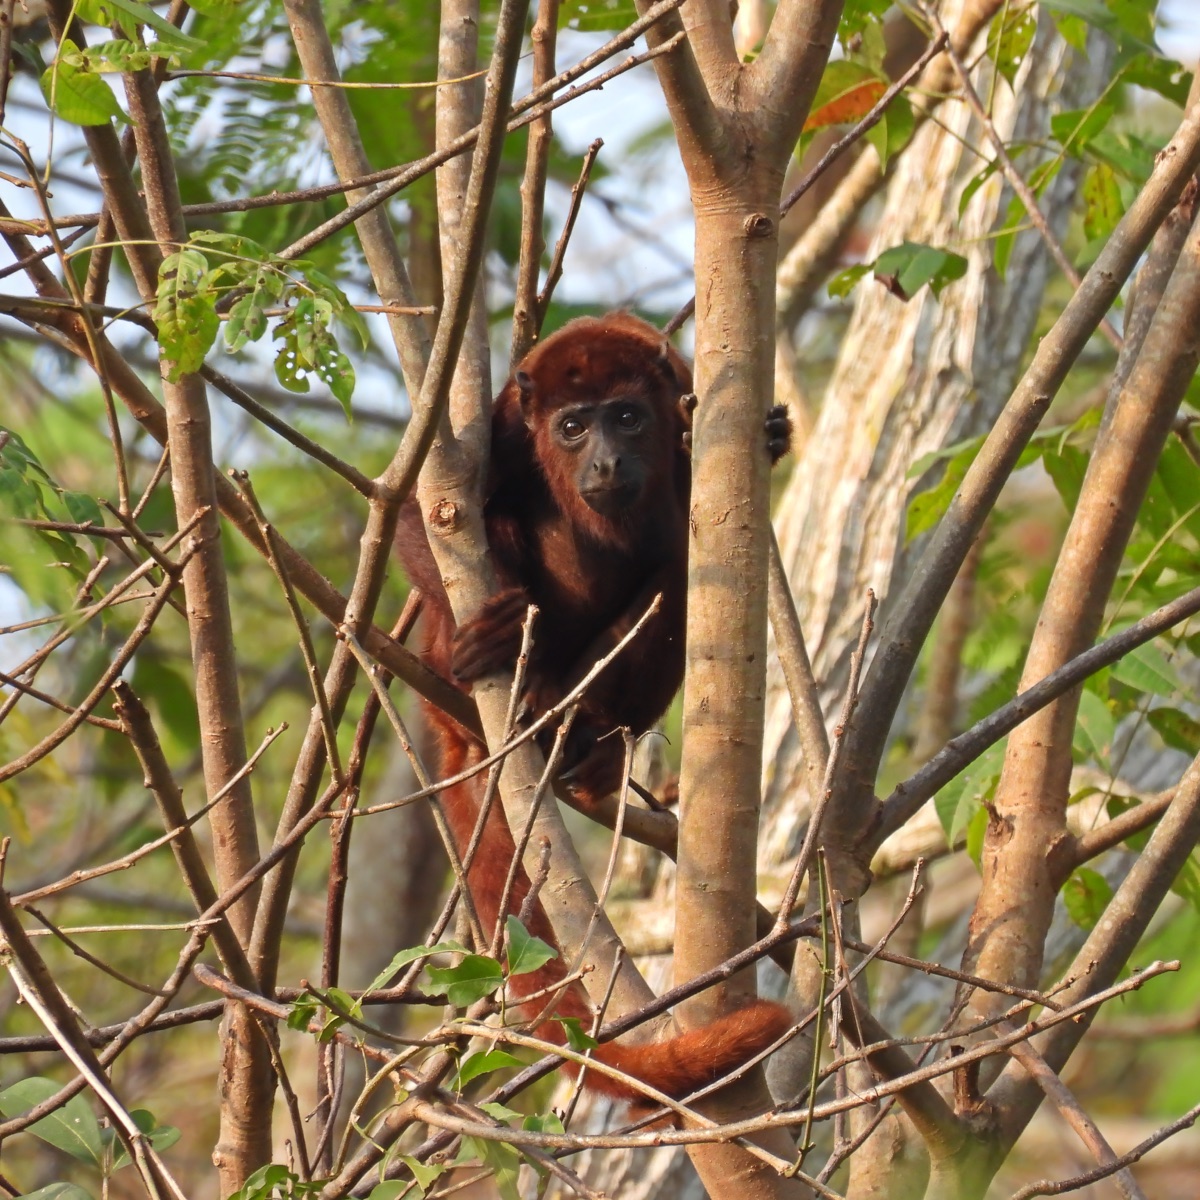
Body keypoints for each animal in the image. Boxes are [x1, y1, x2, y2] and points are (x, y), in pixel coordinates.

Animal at [395, 312, 792, 1106]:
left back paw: (589, 743)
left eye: (628, 418)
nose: (606, 462)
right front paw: (483, 636)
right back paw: (501, 672)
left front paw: (770, 435)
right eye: (573, 427)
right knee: (496, 531)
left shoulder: (687, 405)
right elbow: (425, 513)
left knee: (677, 570)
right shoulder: (506, 428)